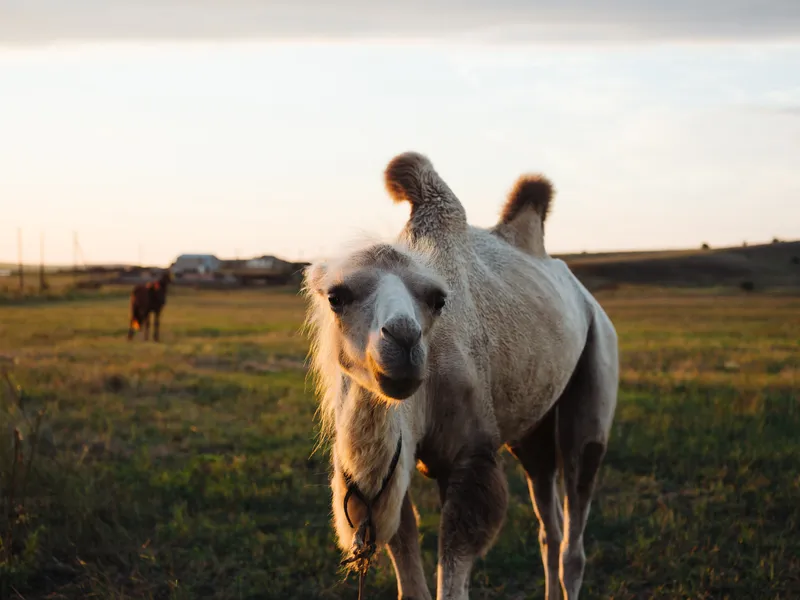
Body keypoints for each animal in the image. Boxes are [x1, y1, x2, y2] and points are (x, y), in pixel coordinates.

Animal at [303, 152, 619, 600]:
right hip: (533, 423)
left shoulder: (472, 456)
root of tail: (585, 296)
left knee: (576, 519)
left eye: (438, 300)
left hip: (598, 360)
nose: (402, 340)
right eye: (336, 297)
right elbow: (408, 568)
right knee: (548, 517)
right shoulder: (394, 478)